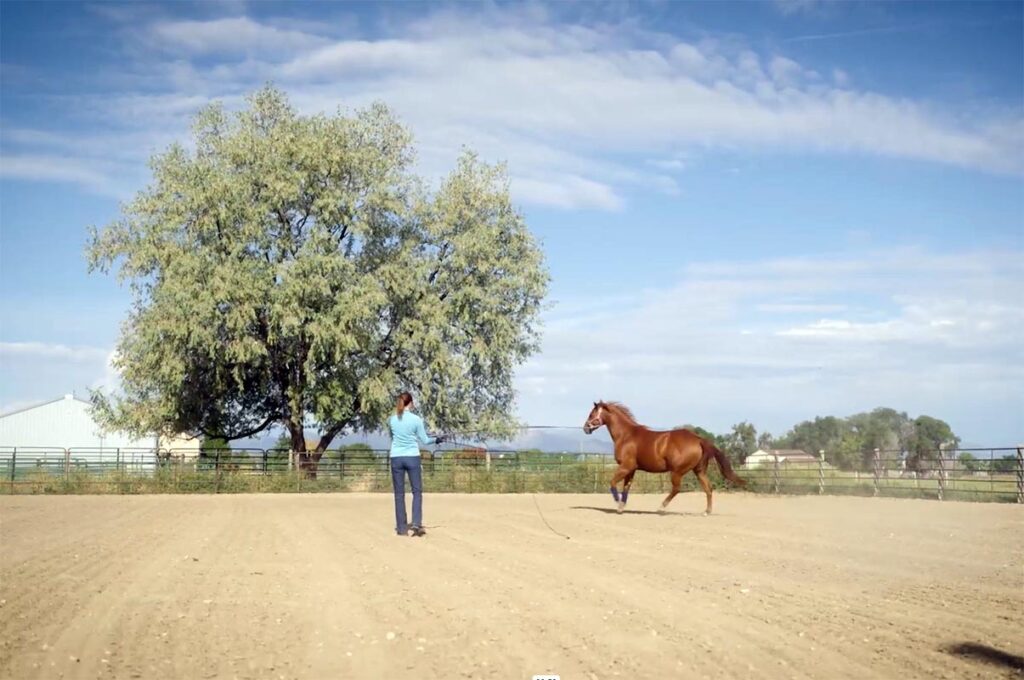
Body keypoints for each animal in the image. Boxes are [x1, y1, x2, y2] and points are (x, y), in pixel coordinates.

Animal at [585, 399, 745, 516]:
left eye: (592, 414)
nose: (586, 428)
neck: (626, 435)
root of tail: (698, 439)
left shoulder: (626, 466)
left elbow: (612, 483)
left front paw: (617, 503)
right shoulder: (632, 469)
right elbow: (626, 488)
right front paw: (621, 507)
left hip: (677, 471)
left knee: (677, 489)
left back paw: (661, 508)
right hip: (699, 471)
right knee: (708, 488)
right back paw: (706, 512)